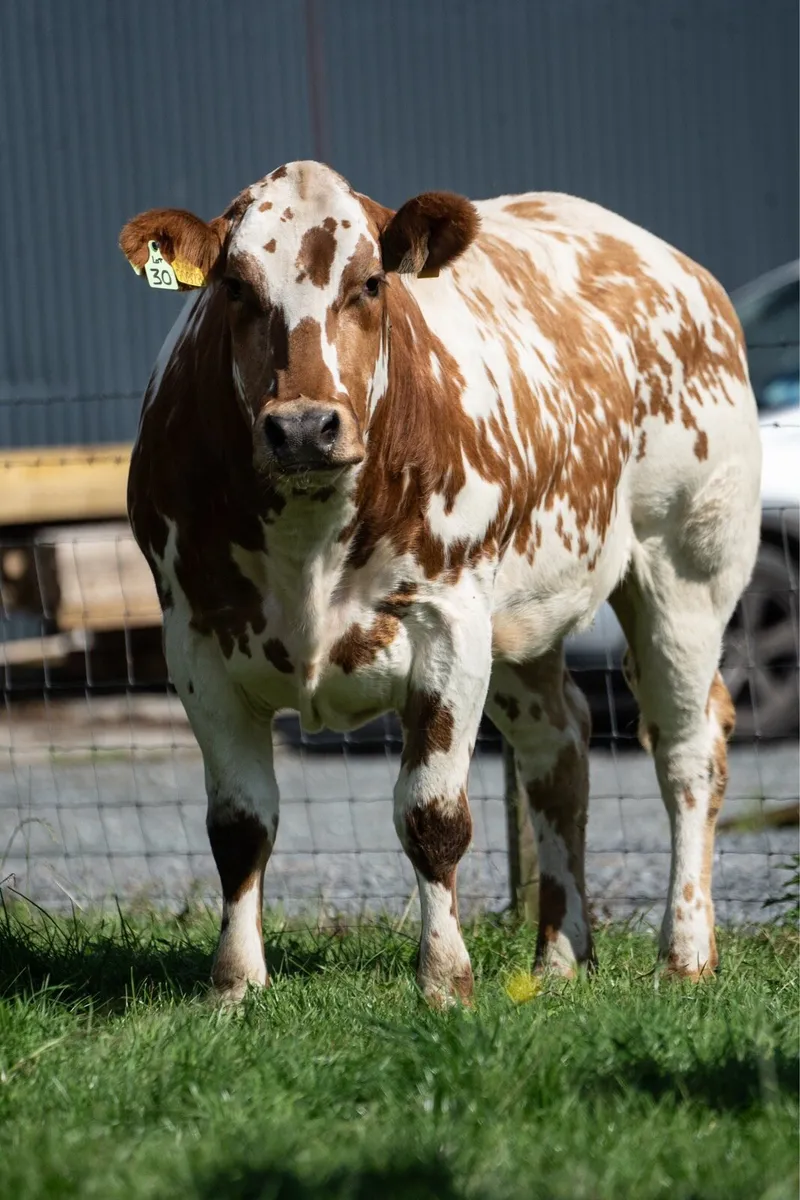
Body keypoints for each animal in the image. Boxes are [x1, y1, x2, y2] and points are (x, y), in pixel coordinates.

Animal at [120, 161, 760, 1006]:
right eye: (234, 287)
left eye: (369, 284)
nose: (303, 427)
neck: (308, 536)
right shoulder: (193, 638)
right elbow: (240, 823)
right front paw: (235, 985)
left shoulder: (448, 624)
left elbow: (432, 816)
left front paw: (445, 980)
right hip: (523, 617)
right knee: (559, 749)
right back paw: (560, 956)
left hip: (686, 570)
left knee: (688, 749)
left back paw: (684, 950)